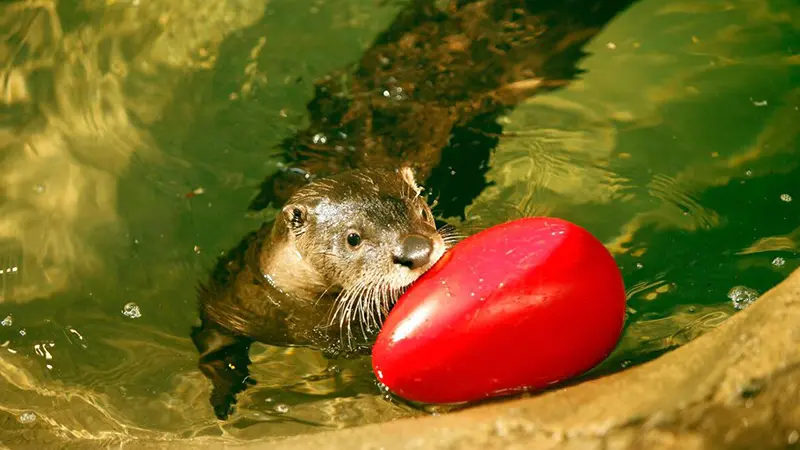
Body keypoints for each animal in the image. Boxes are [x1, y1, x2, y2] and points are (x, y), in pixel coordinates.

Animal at [191, 167, 459, 419]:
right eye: (353, 238)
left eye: (422, 212)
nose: (417, 250)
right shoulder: (233, 302)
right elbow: (214, 337)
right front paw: (225, 394)